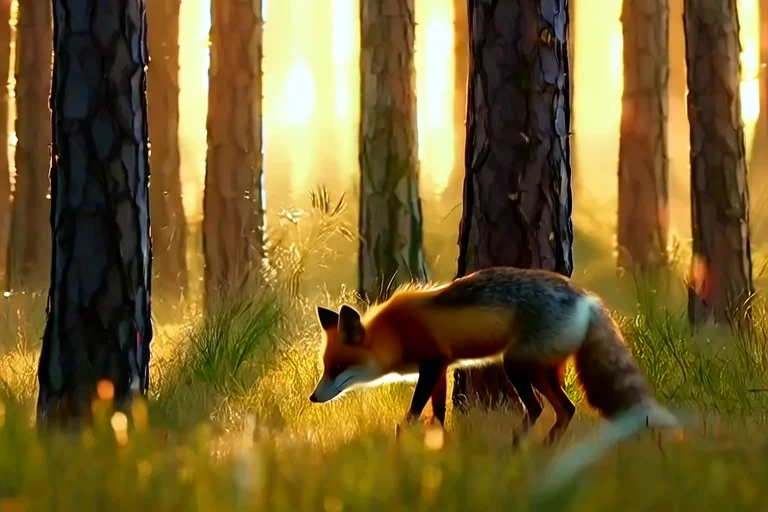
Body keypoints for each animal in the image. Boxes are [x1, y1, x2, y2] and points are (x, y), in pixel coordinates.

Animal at [309, 266, 679, 446]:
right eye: (325, 367)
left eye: (338, 367)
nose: (313, 398)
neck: (395, 332)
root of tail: (586, 296)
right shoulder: (442, 365)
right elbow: (439, 412)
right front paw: (437, 442)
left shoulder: (432, 363)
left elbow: (414, 411)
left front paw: (406, 438)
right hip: (543, 370)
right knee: (566, 409)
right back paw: (544, 449)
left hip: (515, 365)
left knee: (539, 408)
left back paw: (518, 446)